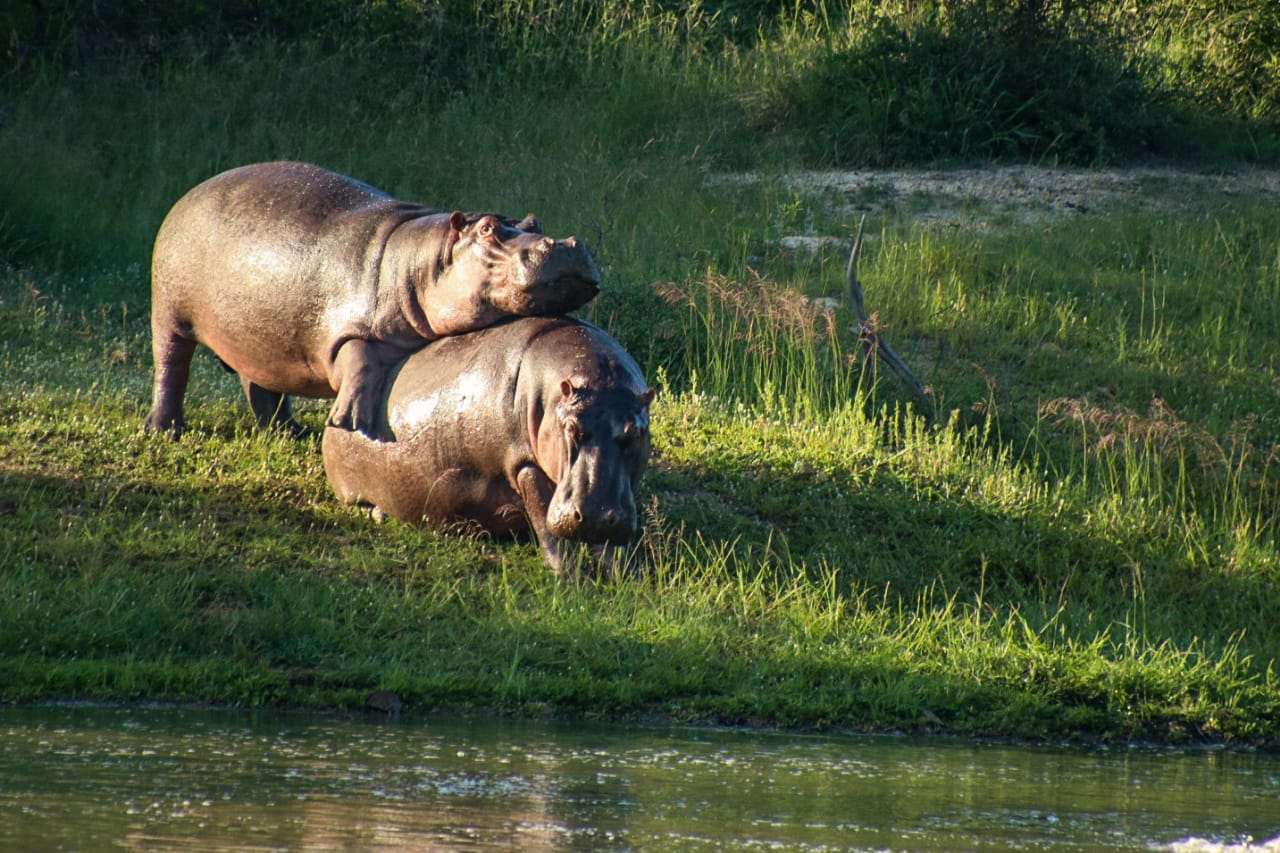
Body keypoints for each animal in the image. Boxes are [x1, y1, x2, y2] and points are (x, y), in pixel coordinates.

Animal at [144, 161, 600, 438]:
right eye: (487, 229)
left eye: (535, 222)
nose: (566, 243)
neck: (423, 258)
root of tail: (191, 191)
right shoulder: (350, 330)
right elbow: (359, 361)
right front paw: (350, 422)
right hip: (169, 312)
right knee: (171, 367)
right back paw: (163, 429)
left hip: (259, 338)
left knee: (260, 385)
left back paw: (290, 432)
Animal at [322, 316, 653, 572]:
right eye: (571, 428)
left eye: (636, 432)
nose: (597, 516)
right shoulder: (523, 464)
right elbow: (546, 524)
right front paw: (569, 574)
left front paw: (619, 571)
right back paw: (377, 514)